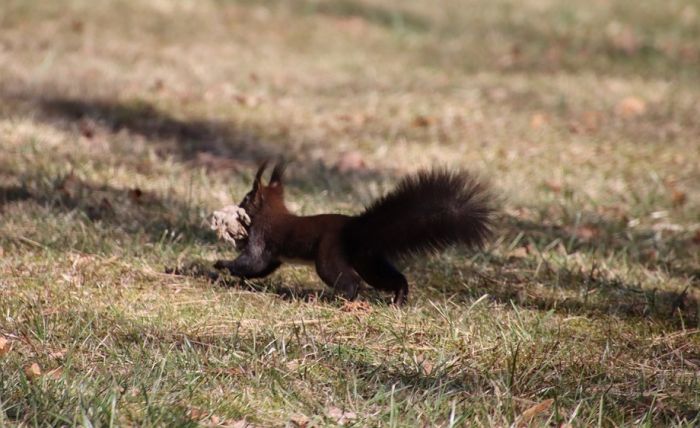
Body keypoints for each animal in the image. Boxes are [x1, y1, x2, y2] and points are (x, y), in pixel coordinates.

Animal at [214, 161, 495, 305]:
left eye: (247, 198)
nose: (237, 205)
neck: (272, 212)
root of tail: (355, 229)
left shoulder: (261, 239)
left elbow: (252, 262)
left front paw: (220, 265)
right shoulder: (273, 255)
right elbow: (261, 268)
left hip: (328, 256)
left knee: (351, 281)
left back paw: (339, 298)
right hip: (368, 260)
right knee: (391, 278)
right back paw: (399, 298)